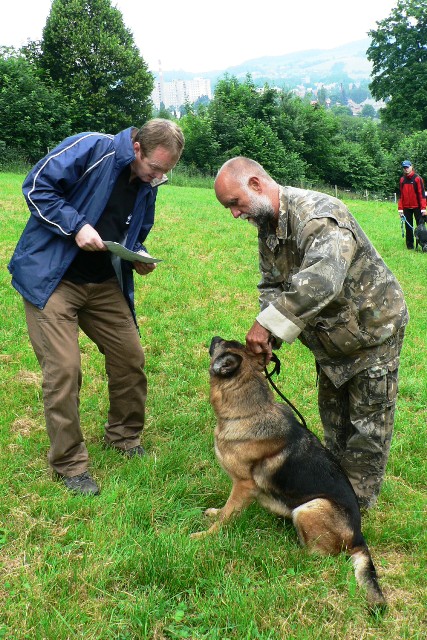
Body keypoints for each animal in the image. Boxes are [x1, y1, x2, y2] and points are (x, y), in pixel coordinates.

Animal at [193, 336, 388, 608]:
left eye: (224, 344)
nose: (214, 338)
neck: (249, 412)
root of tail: (359, 537)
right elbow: (224, 511)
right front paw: (213, 514)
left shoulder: (243, 485)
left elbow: (227, 516)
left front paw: (205, 536)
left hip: (310, 507)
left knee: (316, 556)